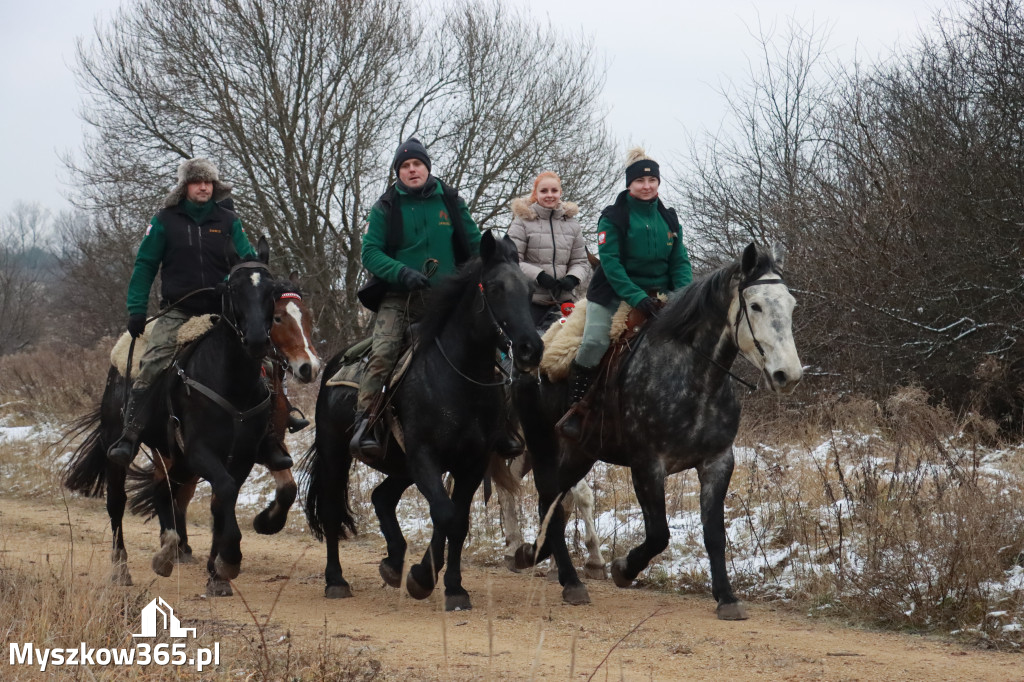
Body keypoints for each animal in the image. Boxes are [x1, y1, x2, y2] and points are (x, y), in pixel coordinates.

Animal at [62, 238, 284, 593]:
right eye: (233, 288)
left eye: (272, 289)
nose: (256, 340)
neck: (231, 381)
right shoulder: (200, 451)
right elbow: (223, 490)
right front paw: (229, 561)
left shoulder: (243, 456)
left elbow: (224, 499)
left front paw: (216, 573)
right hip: (120, 446)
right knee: (117, 502)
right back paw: (121, 568)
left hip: (171, 453)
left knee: (161, 491)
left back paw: (167, 551)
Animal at [301, 231, 544, 606]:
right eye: (495, 288)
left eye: (530, 291)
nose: (531, 348)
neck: (456, 378)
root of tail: (332, 364)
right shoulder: (424, 456)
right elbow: (445, 515)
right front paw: (424, 577)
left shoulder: (470, 464)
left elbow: (457, 521)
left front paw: (452, 587)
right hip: (336, 453)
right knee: (330, 510)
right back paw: (336, 580)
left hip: (400, 466)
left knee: (382, 497)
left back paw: (393, 561)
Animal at [512, 241, 798, 614]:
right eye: (755, 305)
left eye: (791, 305)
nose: (788, 374)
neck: (695, 379)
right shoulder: (648, 466)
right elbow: (659, 533)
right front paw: (624, 568)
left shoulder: (718, 462)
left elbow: (714, 534)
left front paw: (726, 597)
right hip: (543, 445)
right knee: (551, 503)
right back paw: (570, 580)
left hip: (579, 454)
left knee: (554, 503)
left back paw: (544, 559)